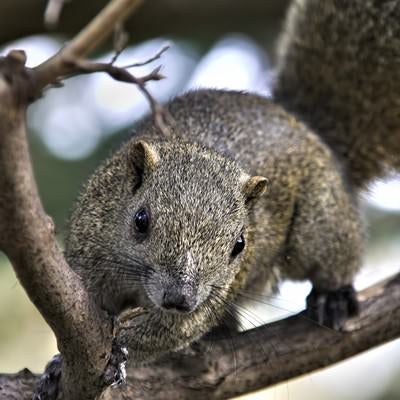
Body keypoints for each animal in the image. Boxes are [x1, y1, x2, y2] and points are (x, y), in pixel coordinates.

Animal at [65, 0, 400, 364]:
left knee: (337, 256)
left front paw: (120, 347)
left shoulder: (207, 300)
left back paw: (332, 297)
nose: (180, 299)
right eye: (141, 221)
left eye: (239, 244)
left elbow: (166, 332)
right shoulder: (86, 257)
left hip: (321, 223)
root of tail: (303, 123)